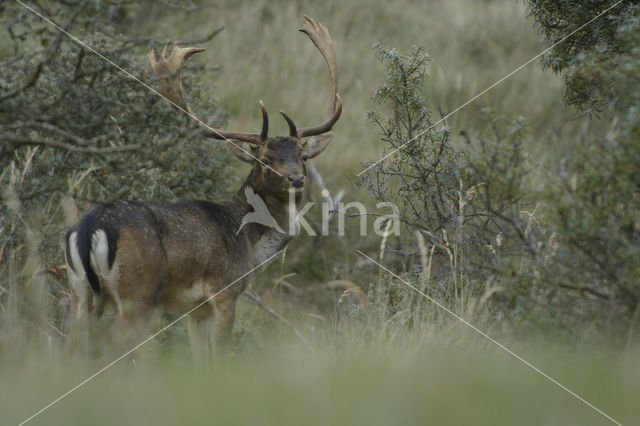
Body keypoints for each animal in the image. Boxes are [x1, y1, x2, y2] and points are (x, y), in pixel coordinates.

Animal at [66, 15, 340, 356]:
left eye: (303, 155)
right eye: (264, 158)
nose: (296, 178)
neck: (250, 245)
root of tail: (91, 226)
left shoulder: (194, 310)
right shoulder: (225, 290)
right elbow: (220, 353)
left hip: (78, 290)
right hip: (137, 292)